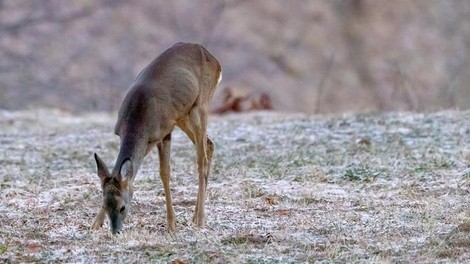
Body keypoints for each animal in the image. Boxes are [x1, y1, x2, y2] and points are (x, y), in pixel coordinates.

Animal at [92, 42, 223, 234]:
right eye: (105, 205)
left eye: (123, 207)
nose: (116, 231)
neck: (137, 121)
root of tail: (215, 61)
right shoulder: (147, 140)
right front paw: (95, 223)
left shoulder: (163, 133)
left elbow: (164, 172)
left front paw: (171, 224)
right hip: (184, 114)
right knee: (209, 144)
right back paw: (195, 216)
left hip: (201, 105)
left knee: (202, 159)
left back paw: (200, 220)